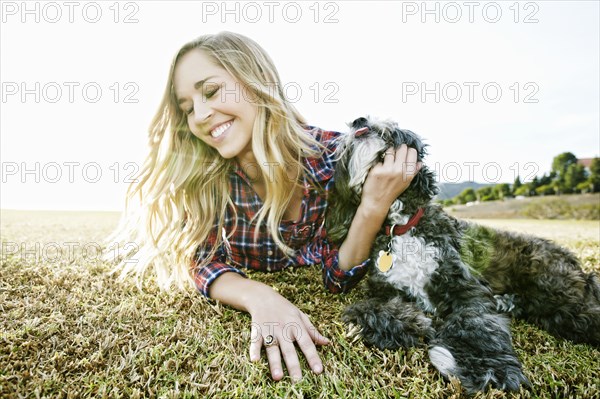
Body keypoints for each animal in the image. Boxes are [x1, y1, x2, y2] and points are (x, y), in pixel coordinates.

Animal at [328, 115, 600, 394]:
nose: (359, 119)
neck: (401, 226)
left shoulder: (465, 288)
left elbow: (475, 323)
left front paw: (487, 368)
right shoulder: (382, 289)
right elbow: (365, 308)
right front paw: (413, 322)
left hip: (558, 293)